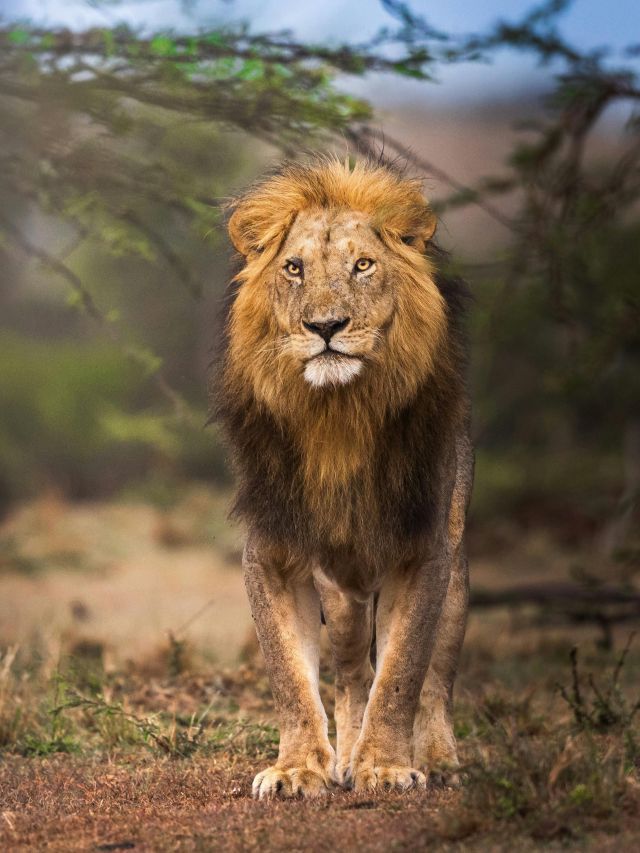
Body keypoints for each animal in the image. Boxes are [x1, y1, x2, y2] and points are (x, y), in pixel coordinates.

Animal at [213, 156, 473, 798]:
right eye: (294, 268)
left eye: (363, 265)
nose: (325, 325)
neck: (337, 418)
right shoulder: (272, 553)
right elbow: (289, 677)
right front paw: (298, 768)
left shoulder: (424, 551)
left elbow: (403, 673)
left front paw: (389, 766)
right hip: (345, 594)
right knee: (355, 671)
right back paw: (346, 756)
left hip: (457, 577)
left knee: (435, 679)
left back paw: (437, 760)